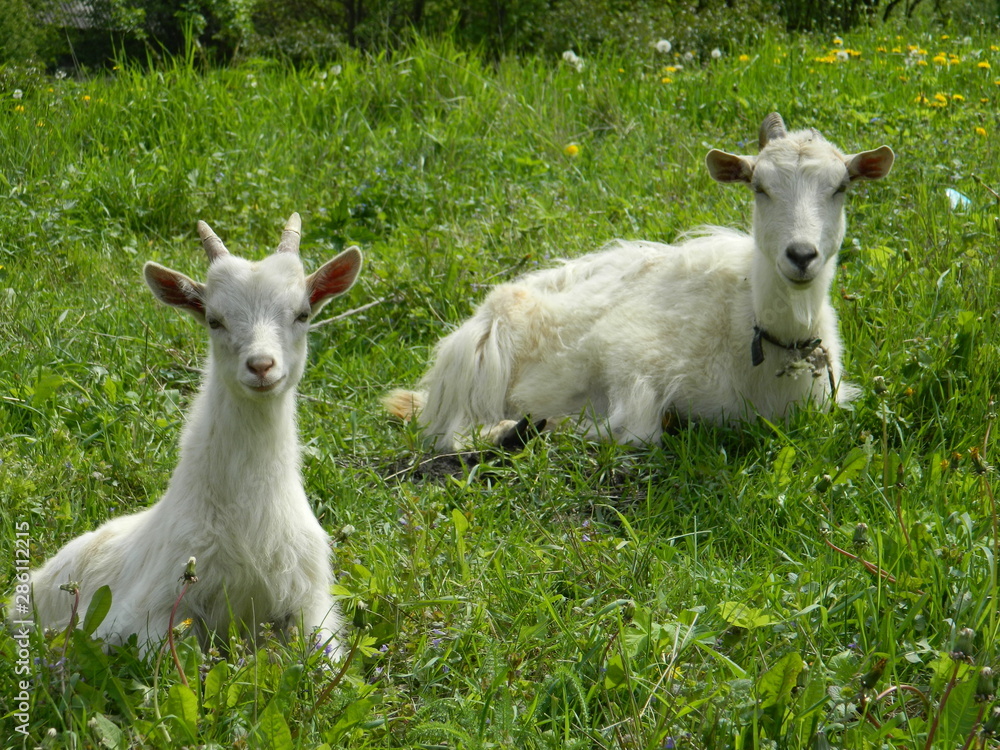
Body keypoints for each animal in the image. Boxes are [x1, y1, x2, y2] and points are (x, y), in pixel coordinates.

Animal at [26, 214, 362, 658]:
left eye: (302, 314)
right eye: (214, 320)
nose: (261, 366)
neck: (248, 520)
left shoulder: (311, 604)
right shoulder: (150, 612)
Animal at [385, 113, 894, 451]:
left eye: (841, 187)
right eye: (759, 187)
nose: (801, 255)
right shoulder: (628, 356)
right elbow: (635, 431)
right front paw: (571, 428)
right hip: (483, 362)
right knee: (457, 435)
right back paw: (513, 430)